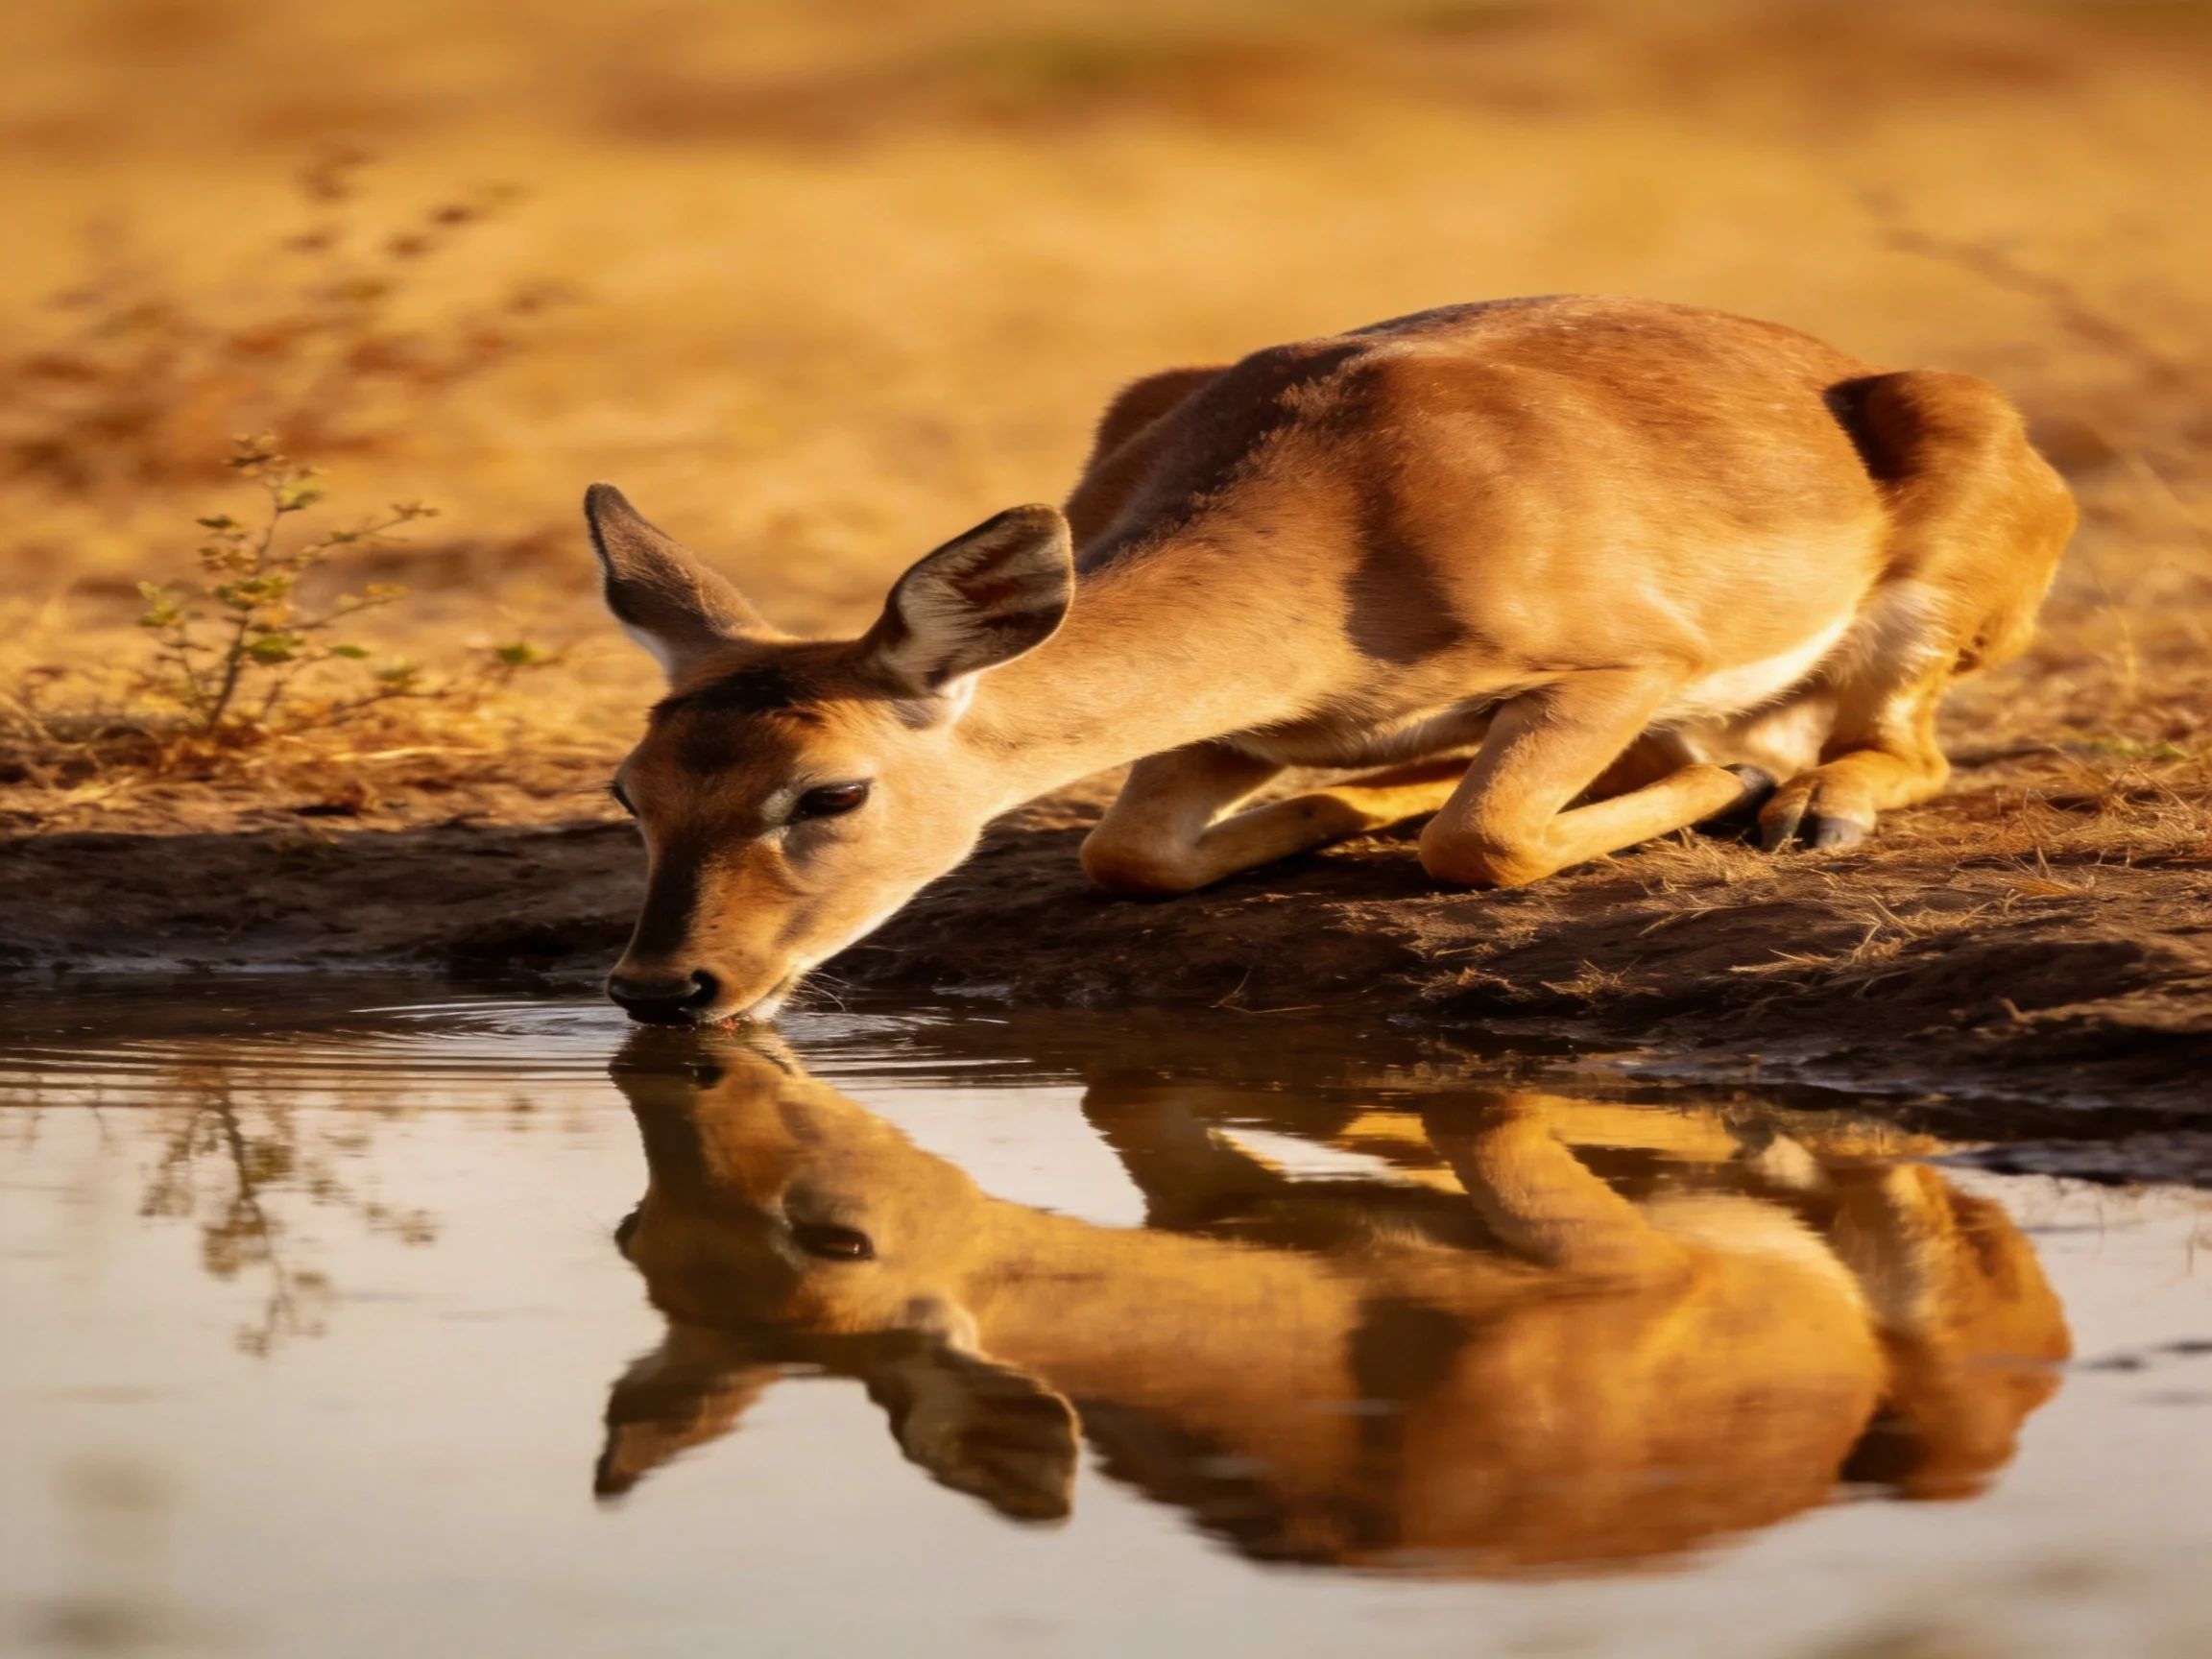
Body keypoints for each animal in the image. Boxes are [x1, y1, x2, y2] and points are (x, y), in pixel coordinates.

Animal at [586, 295, 2075, 1023]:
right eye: (632, 792)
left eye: (832, 792)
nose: (666, 990)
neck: (1353, 513)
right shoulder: (1220, 733)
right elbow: (1127, 854)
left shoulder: (1625, 667)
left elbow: (1481, 839)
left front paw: (1730, 782)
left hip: (1929, 603)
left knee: (1895, 747)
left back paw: (1801, 804)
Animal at [595, 1030, 2070, 1572]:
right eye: (634, 1233)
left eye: (833, 1235)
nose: (702, 1031)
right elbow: (1125, 1090)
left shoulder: (1633, 1260)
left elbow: (1484, 1099)